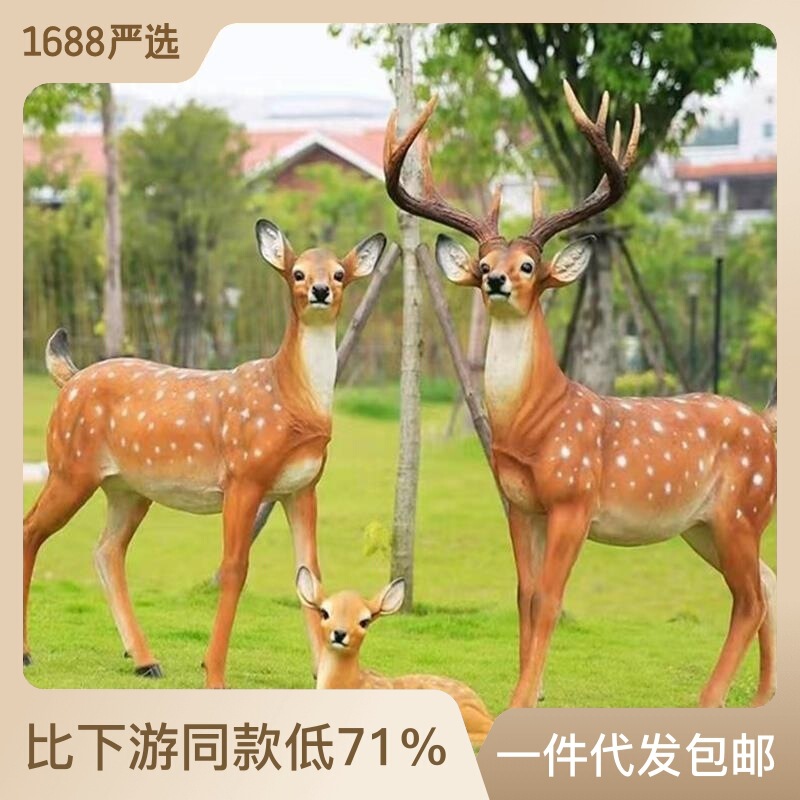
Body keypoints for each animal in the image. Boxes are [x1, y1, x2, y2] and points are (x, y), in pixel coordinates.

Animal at [23, 219, 386, 688]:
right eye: (298, 273)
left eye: (340, 274)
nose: (321, 290)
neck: (293, 400)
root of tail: (69, 379)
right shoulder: (243, 476)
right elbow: (234, 569)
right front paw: (213, 672)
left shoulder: (303, 488)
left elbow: (309, 574)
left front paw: (320, 670)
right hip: (68, 465)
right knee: (30, 530)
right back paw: (26, 652)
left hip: (128, 488)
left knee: (106, 550)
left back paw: (145, 660)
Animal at [384, 82, 778, 709]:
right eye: (483, 263)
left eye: (528, 265)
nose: (495, 280)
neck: (537, 426)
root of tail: (768, 426)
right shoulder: (520, 504)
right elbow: (523, 594)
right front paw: (528, 692)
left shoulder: (575, 499)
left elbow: (550, 598)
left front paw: (521, 699)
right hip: (706, 525)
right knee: (765, 586)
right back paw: (762, 698)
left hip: (743, 509)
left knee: (751, 598)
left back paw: (710, 699)